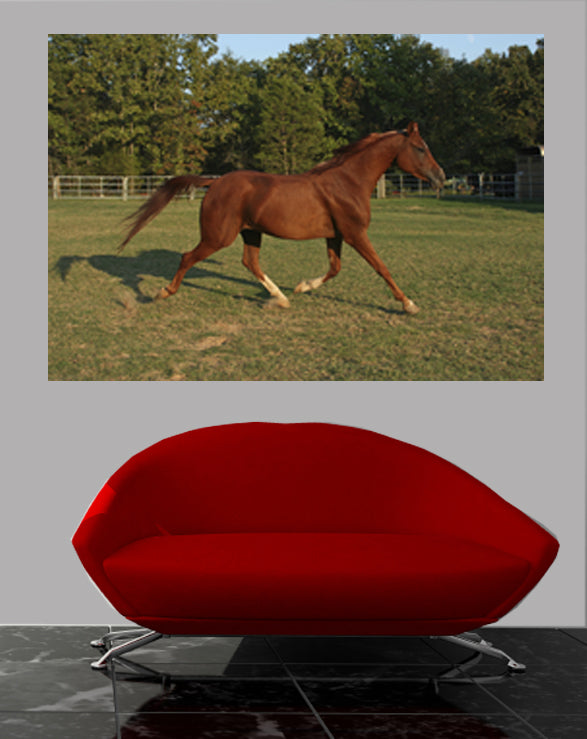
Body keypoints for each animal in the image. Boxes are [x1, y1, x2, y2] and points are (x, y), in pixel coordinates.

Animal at [119, 122, 445, 314]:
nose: (441, 177)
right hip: (218, 236)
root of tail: (215, 182)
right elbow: (381, 267)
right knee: (188, 257)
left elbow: (335, 268)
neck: (348, 181)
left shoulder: (336, 235)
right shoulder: (355, 234)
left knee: (250, 262)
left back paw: (281, 298)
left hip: (251, 232)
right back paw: (162, 292)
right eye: (420, 148)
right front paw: (409, 304)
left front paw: (302, 287)